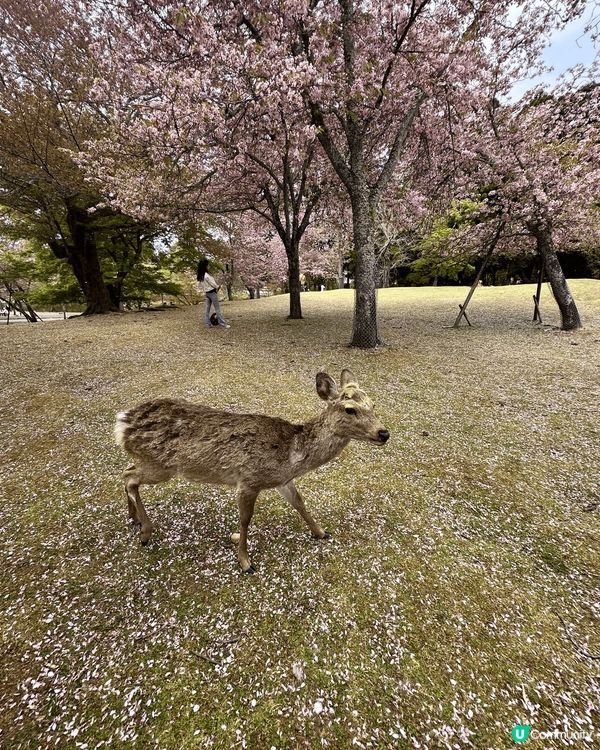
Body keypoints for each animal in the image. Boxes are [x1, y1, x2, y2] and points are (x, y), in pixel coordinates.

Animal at [114, 369, 390, 573]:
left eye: (374, 404)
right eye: (350, 409)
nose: (384, 433)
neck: (291, 455)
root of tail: (122, 423)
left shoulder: (282, 480)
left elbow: (299, 503)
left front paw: (320, 532)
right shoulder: (248, 480)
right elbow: (245, 519)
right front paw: (245, 562)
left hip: (149, 462)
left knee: (126, 471)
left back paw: (134, 518)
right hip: (160, 465)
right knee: (129, 477)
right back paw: (145, 533)